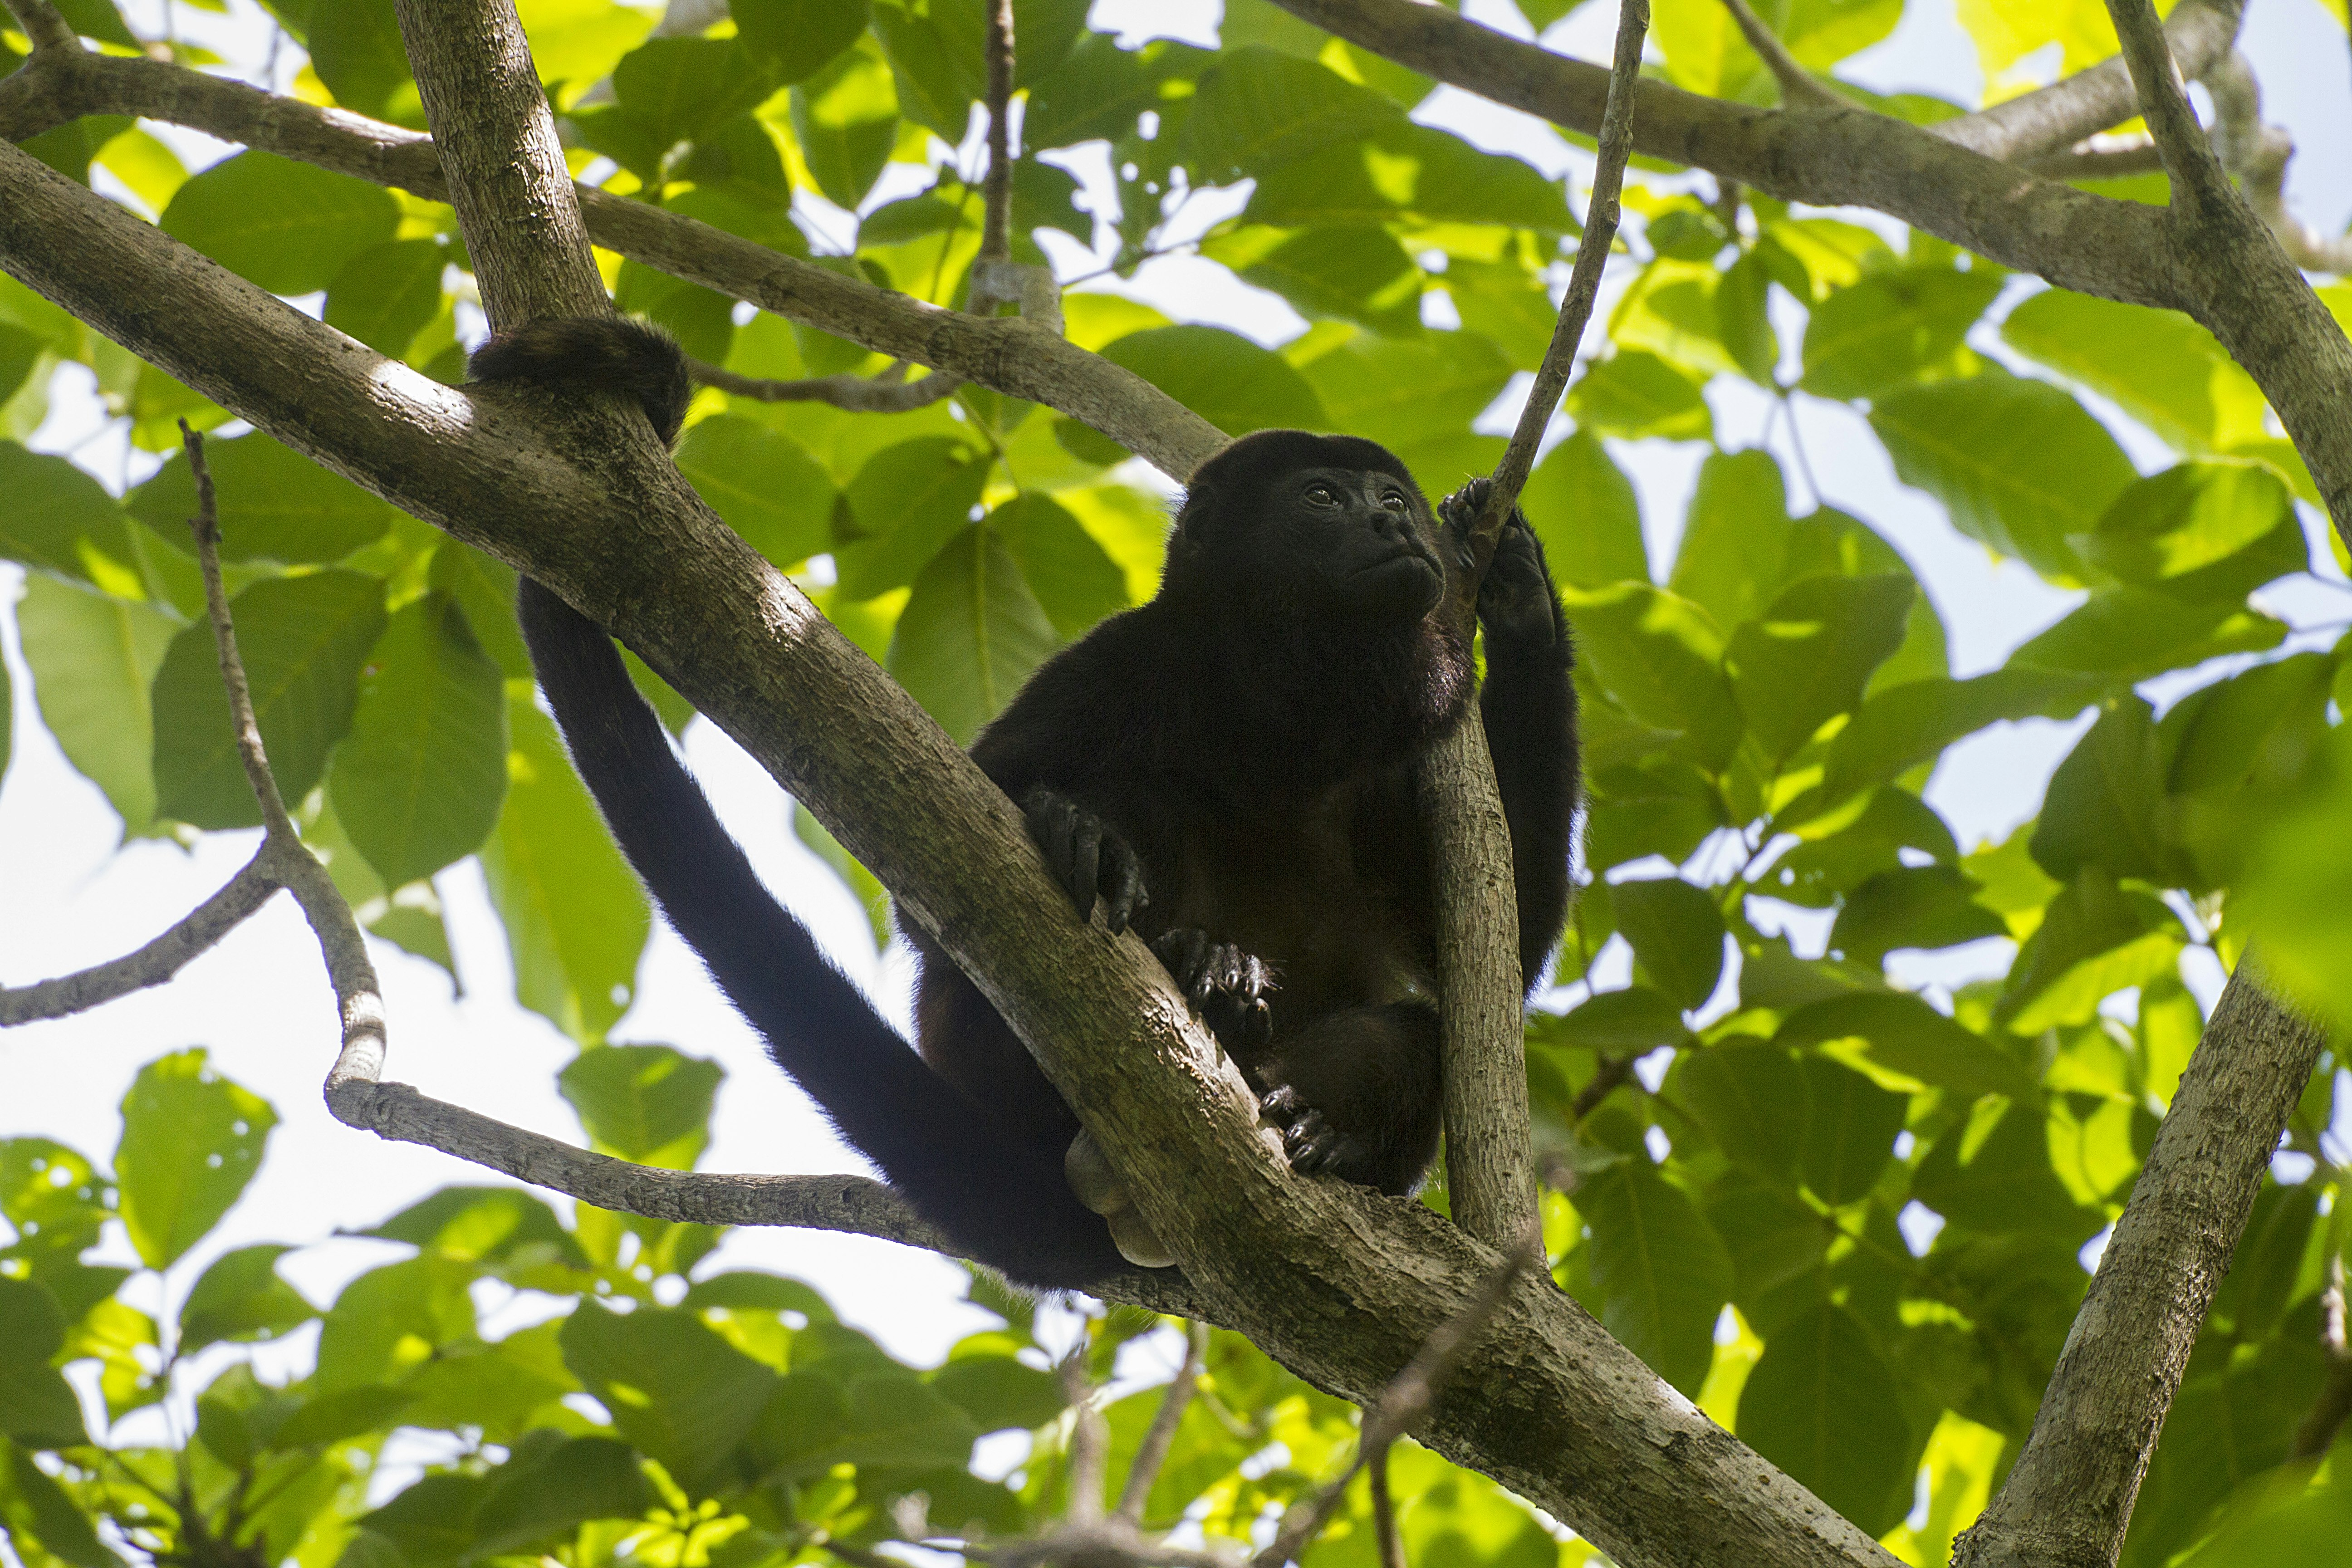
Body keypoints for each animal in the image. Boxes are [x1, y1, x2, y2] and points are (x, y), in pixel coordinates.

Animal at [473, 317, 1580, 1290]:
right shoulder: (1117, 664)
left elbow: (1485, 967)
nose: (1393, 519)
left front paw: (1524, 599)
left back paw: (1308, 1109)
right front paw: (1079, 835)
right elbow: (930, 880)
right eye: (1322, 496)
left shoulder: (1410, 754)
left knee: (1418, 1033)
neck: (1283, 712)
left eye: (1391, 494)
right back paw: (1193, 960)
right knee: (1121, 825)